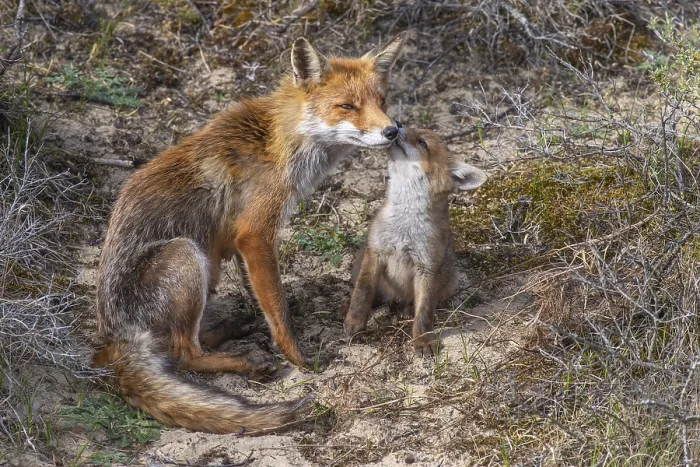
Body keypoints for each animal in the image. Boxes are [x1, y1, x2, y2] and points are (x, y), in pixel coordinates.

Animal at [92, 33, 407, 434]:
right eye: (347, 106)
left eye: (382, 102)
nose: (392, 131)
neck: (280, 142)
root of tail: (113, 338)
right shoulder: (255, 235)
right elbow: (278, 308)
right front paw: (299, 359)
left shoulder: (239, 245)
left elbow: (261, 296)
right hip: (186, 255)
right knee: (185, 354)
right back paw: (245, 361)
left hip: (208, 268)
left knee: (189, 342)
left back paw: (234, 328)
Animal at [342, 126, 488, 356]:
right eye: (407, 128)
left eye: (422, 143)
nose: (395, 126)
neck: (405, 225)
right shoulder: (376, 252)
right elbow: (362, 293)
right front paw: (354, 321)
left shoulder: (427, 266)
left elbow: (425, 313)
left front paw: (422, 340)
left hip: (448, 284)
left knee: (406, 302)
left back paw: (404, 308)